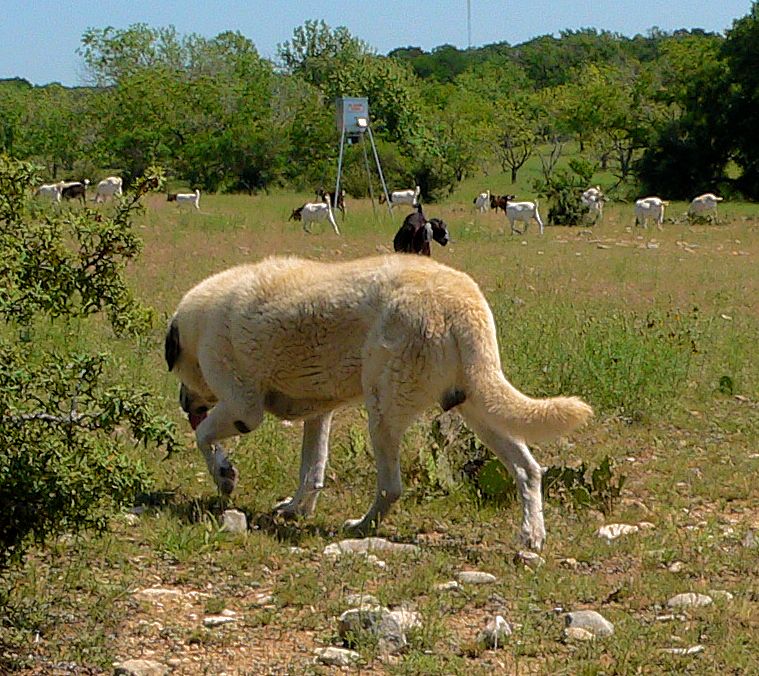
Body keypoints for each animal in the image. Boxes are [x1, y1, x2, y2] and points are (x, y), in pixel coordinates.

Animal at [168, 254, 592, 548]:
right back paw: (531, 535)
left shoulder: (244, 409)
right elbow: (312, 470)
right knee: (528, 469)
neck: (197, 325)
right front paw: (296, 509)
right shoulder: (318, 414)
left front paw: (224, 475)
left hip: (383, 412)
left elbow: (204, 438)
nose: (183, 402)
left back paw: (361, 527)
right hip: (479, 406)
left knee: (391, 487)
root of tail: (461, 301)